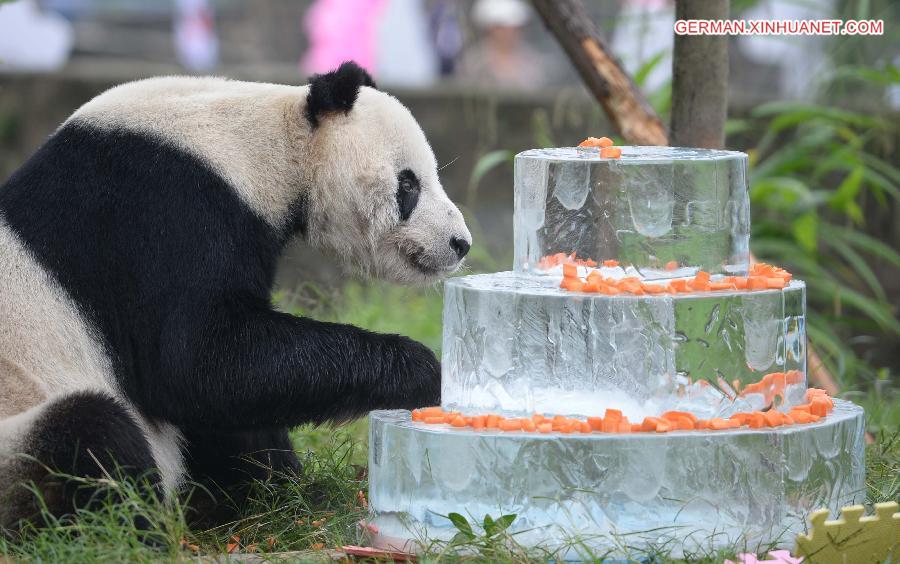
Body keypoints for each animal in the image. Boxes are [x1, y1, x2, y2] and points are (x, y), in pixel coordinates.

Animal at [0, 61, 474, 524]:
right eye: (409, 184)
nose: (460, 244)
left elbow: (232, 396)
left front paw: (283, 489)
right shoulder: (164, 210)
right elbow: (200, 361)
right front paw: (423, 371)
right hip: (22, 435)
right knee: (89, 437)